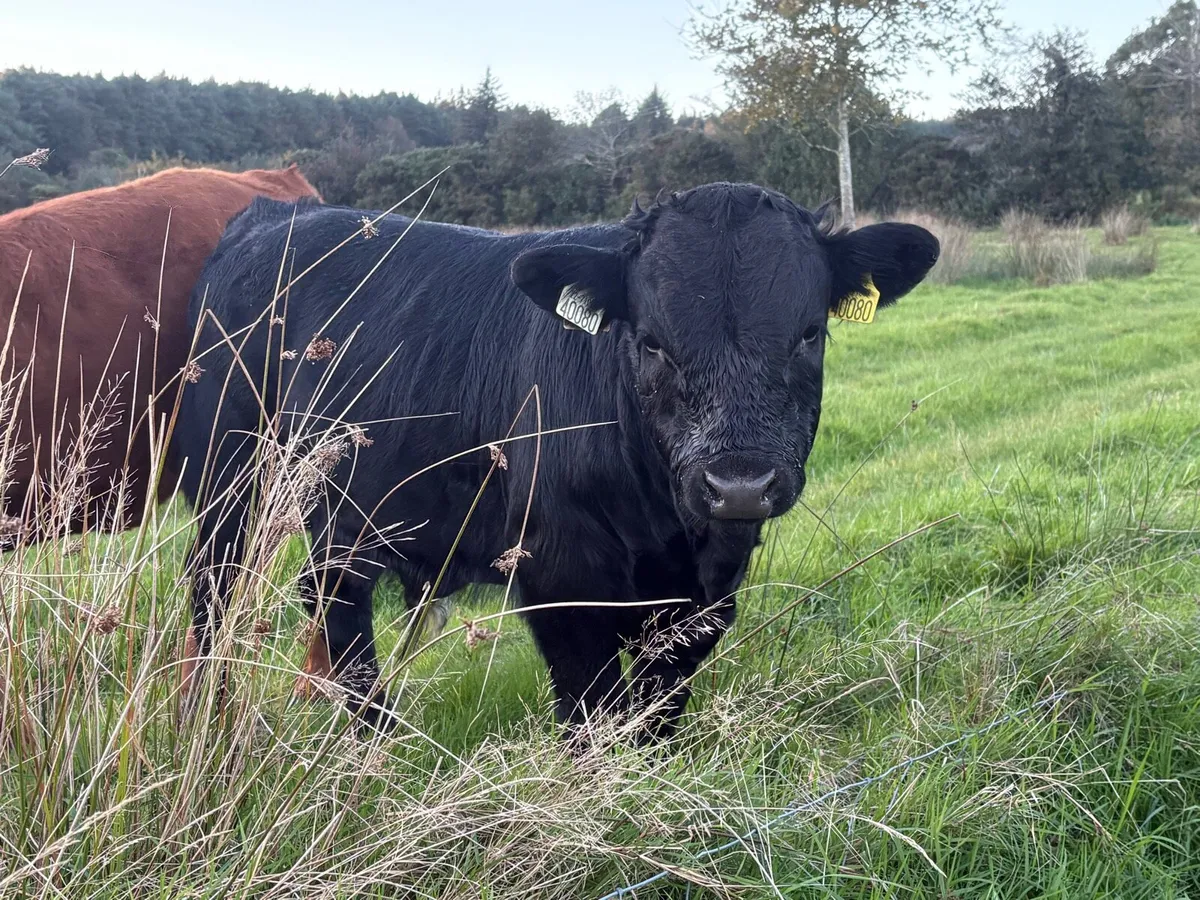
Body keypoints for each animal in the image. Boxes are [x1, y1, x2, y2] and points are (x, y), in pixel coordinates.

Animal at [176, 183, 938, 741]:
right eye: (651, 341)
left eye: (810, 333)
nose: (740, 484)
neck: (664, 527)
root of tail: (273, 215)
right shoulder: (559, 581)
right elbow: (591, 715)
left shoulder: (704, 597)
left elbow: (657, 716)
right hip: (229, 470)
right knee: (216, 584)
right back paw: (230, 719)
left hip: (348, 504)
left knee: (330, 591)